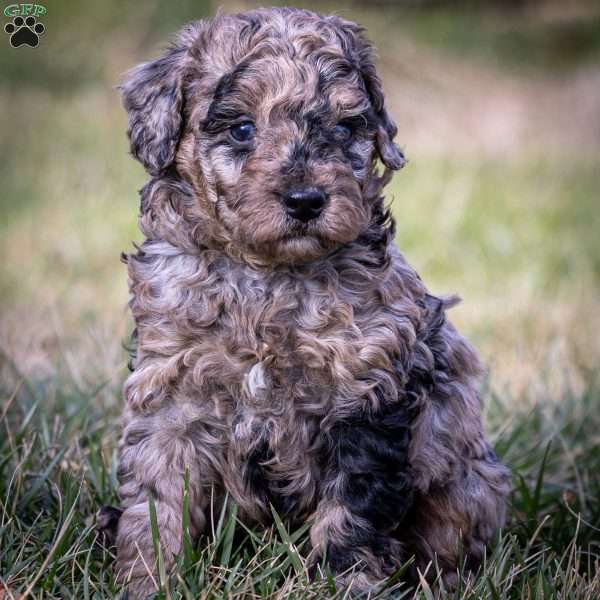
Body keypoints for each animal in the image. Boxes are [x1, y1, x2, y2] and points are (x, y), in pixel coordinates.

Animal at [101, 7, 508, 596]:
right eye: (242, 129)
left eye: (342, 128)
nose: (305, 200)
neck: (266, 282)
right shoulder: (168, 389)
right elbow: (157, 498)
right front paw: (149, 578)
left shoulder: (366, 389)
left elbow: (351, 514)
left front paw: (349, 583)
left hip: (467, 482)